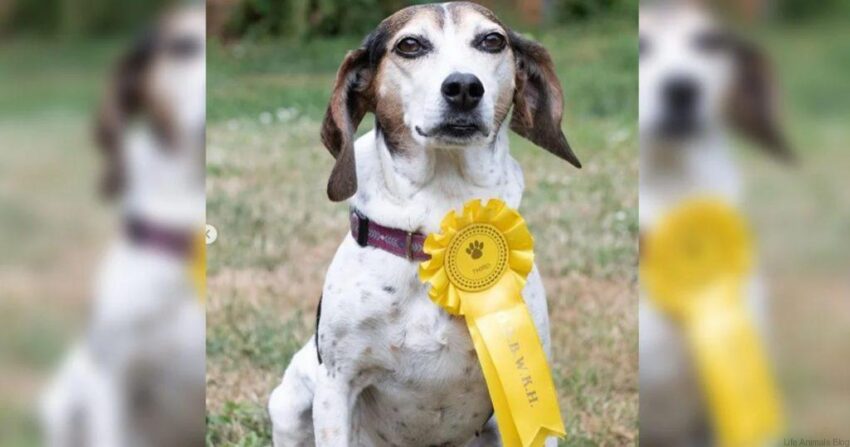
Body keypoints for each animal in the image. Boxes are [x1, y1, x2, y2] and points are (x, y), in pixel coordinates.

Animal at [268, 3, 580, 446]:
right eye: (410, 45)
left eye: (492, 41)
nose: (464, 87)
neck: (440, 222)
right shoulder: (336, 385)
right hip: (289, 402)